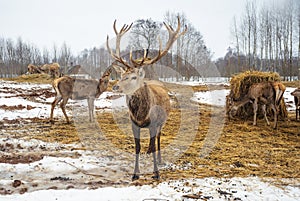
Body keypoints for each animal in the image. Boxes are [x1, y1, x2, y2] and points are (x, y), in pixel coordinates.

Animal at [107, 17, 188, 181]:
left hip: (162, 122)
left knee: (158, 139)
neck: (141, 114)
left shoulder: (154, 123)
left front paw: (156, 173)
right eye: (121, 75)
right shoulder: (134, 124)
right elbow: (137, 147)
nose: (115, 87)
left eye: (133, 77)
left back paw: (160, 160)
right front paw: (135, 173)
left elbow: (152, 145)